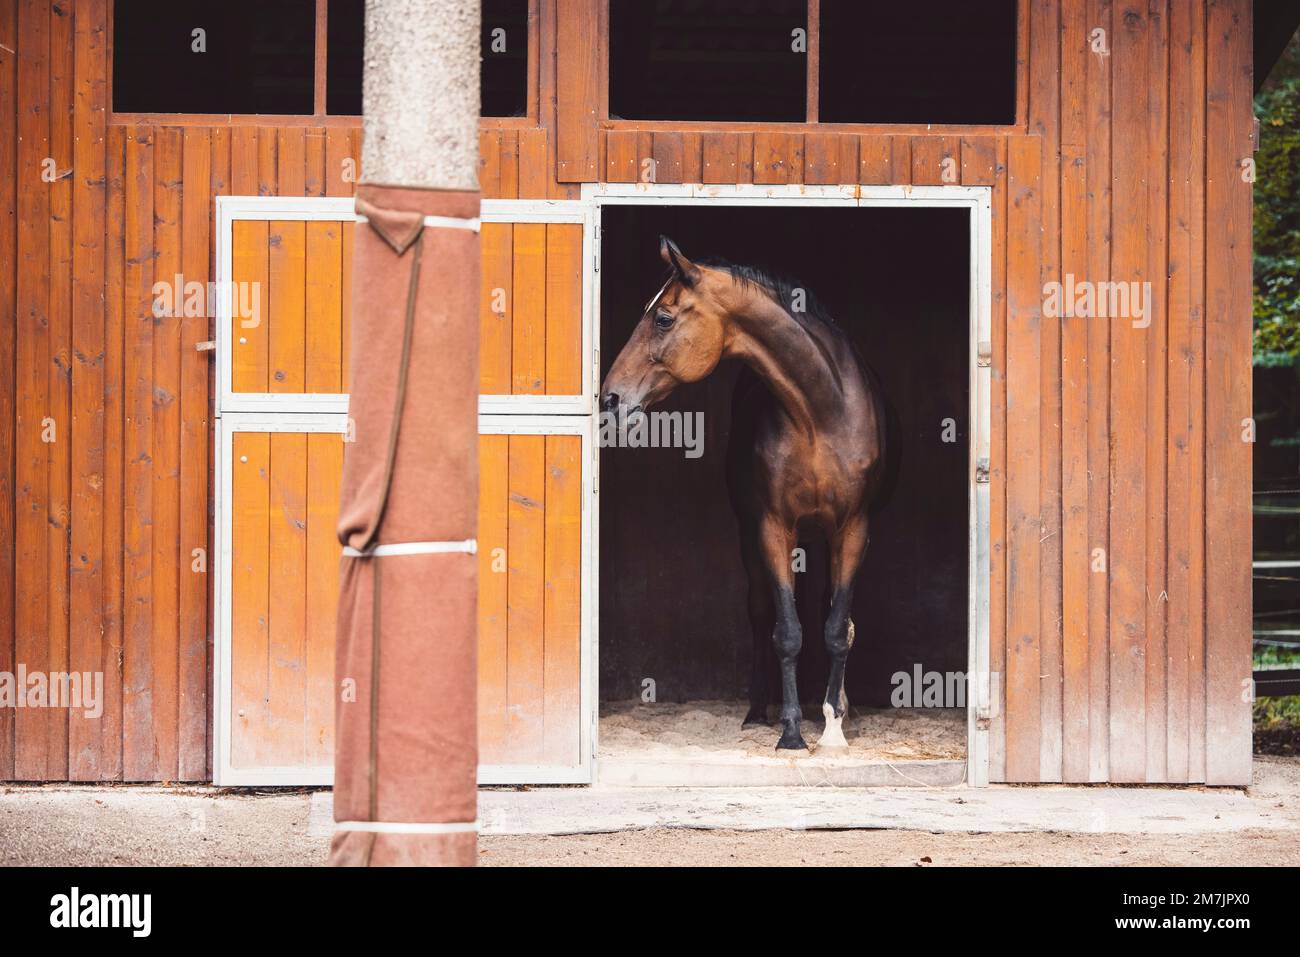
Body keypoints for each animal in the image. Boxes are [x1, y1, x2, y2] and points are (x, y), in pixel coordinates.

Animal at [600, 235, 894, 748]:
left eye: (663, 318)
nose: (610, 398)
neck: (822, 411)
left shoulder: (854, 529)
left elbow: (838, 628)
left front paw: (833, 728)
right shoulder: (773, 528)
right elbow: (786, 632)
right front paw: (792, 731)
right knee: (761, 615)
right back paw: (759, 711)